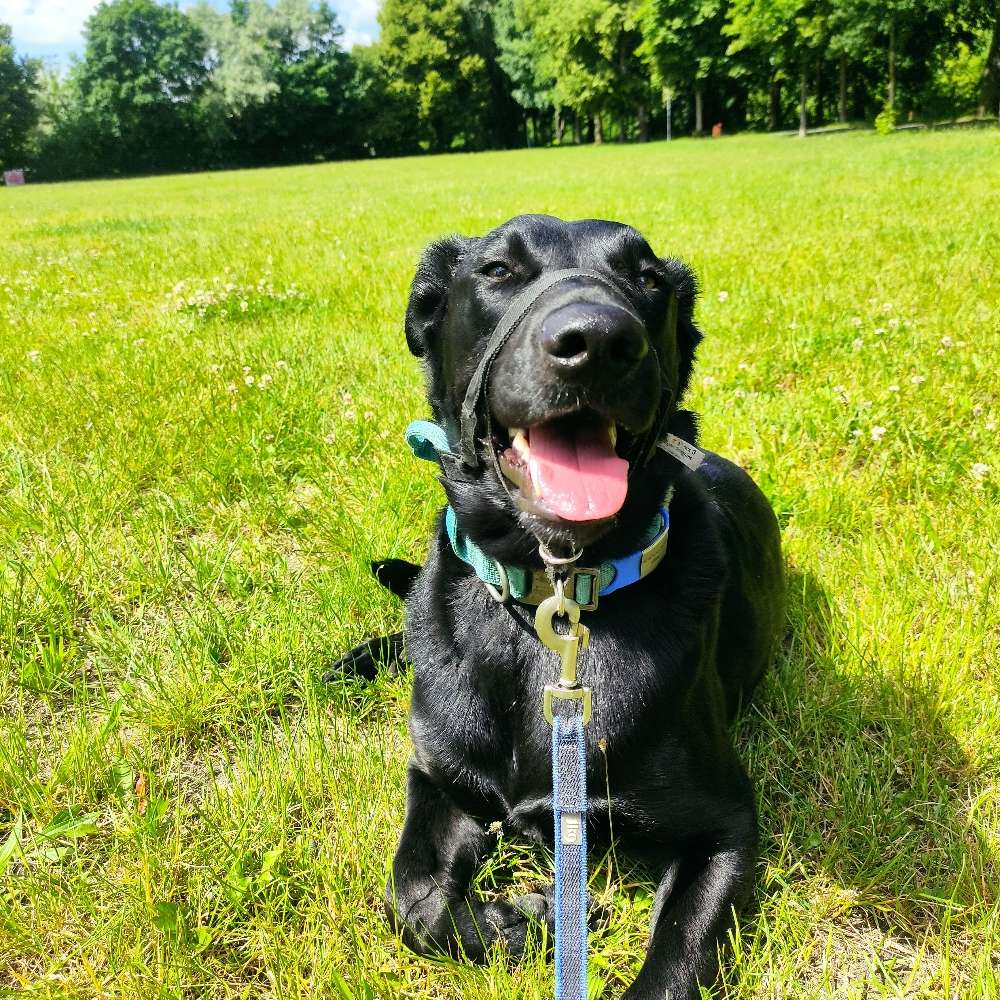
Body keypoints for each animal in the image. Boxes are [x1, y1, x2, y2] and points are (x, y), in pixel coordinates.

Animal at [332, 215, 784, 996]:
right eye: (498, 270)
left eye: (649, 279)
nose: (599, 341)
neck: (556, 597)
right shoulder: (436, 775)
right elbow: (412, 898)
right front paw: (521, 920)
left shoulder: (724, 826)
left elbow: (676, 962)